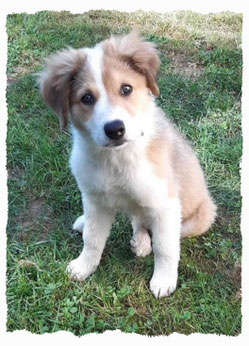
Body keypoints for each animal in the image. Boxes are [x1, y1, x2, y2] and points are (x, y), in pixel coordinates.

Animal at [38, 31, 217, 298]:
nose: (115, 129)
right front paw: (84, 266)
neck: (115, 159)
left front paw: (163, 279)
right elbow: (92, 239)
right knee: (136, 220)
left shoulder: (165, 204)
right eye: (86, 98)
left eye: (126, 89)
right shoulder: (95, 200)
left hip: (199, 217)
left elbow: (165, 247)